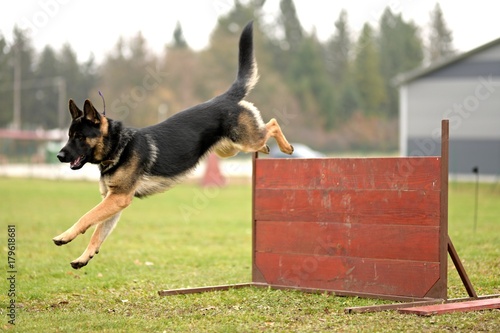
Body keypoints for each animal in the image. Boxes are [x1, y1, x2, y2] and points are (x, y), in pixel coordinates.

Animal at [52, 20, 294, 268]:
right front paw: (84, 257)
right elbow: (98, 232)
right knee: (263, 136)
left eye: (79, 137)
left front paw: (65, 236)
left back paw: (286, 148)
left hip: (244, 141)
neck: (119, 146)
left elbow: (87, 217)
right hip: (229, 149)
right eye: (69, 135)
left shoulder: (118, 198)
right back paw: (268, 149)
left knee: (273, 124)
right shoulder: (115, 201)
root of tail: (224, 97)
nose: (59, 156)